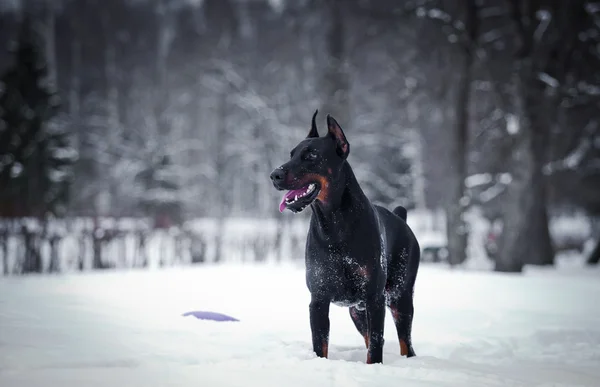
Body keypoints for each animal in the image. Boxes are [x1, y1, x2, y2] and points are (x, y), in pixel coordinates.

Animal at [270, 111, 420, 364]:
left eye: (311, 155)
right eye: (291, 154)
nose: (274, 174)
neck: (334, 226)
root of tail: (402, 219)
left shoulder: (374, 298)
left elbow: (376, 345)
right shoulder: (318, 299)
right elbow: (320, 344)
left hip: (399, 297)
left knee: (404, 342)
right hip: (357, 311)